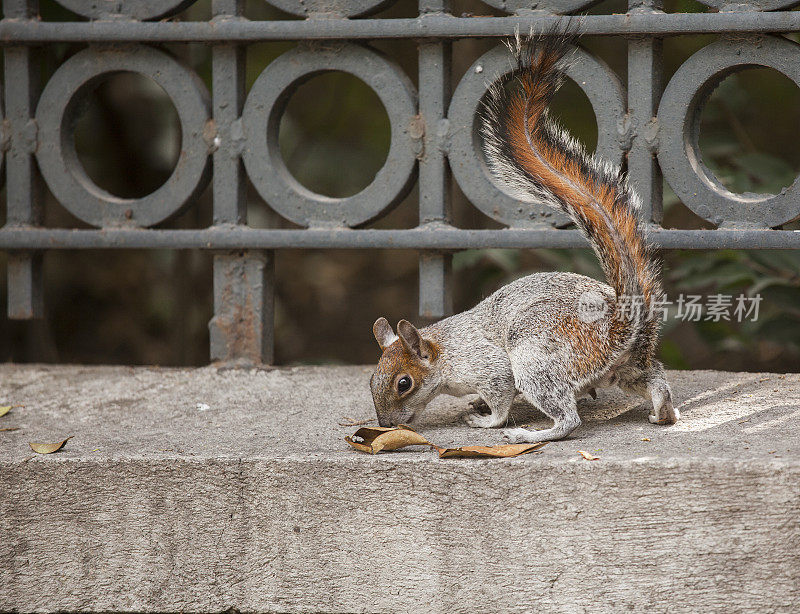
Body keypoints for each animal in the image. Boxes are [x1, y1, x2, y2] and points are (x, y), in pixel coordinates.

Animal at [368, 31, 676, 442]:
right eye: (371, 380)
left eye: (404, 383)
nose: (385, 425)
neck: (446, 351)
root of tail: (617, 329)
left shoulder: (488, 365)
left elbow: (500, 397)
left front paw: (487, 419)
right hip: (623, 370)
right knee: (653, 379)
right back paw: (663, 412)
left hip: (534, 356)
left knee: (568, 418)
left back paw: (533, 434)